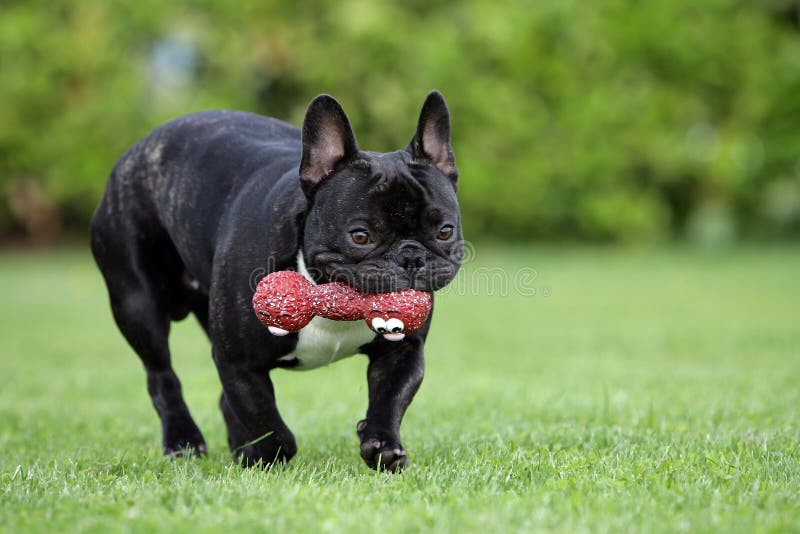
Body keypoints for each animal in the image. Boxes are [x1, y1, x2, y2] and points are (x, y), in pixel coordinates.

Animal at [90, 91, 462, 474]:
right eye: (360, 236)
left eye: (445, 231)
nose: (411, 257)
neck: (329, 298)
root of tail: (137, 148)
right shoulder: (239, 363)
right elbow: (266, 420)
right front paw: (267, 455)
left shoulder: (403, 351)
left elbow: (390, 399)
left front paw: (381, 444)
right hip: (137, 304)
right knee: (161, 375)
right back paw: (184, 442)